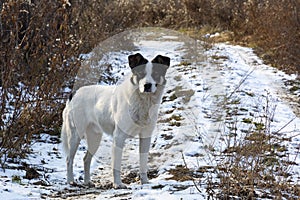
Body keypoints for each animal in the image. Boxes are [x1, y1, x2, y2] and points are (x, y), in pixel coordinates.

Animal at [61, 52, 170, 188]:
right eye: (140, 73)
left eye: (155, 73)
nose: (147, 85)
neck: (142, 101)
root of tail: (74, 93)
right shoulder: (119, 137)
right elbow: (117, 165)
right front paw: (118, 184)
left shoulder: (145, 136)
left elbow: (143, 162)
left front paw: (144, 182)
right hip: (75, 135)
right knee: (69, 159)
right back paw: (71, 181)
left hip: (94, 137)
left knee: (86, 159)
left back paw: (87, 182)